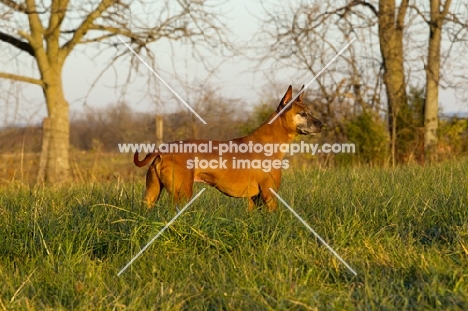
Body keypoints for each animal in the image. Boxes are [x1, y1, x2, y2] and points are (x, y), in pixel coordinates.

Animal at [133, 86, 320, 212]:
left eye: (310, 111)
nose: (321, 123)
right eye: (302, 114)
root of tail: (163, 150)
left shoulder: (254, 198)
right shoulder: (269, 194)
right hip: (182, 194)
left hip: (151, 194)